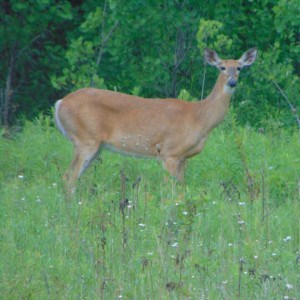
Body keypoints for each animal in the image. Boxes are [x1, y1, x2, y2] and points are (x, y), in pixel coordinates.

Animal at [55, 48, 256, 190]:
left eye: (239, 67)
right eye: (222, 67)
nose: (232, 82)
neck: (200, 118)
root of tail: (59, 103)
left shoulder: (183, 157)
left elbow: (182, 187)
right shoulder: (169, 152)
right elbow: (172, 189)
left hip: (95, 147)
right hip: (85, 140)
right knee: (68, 178)